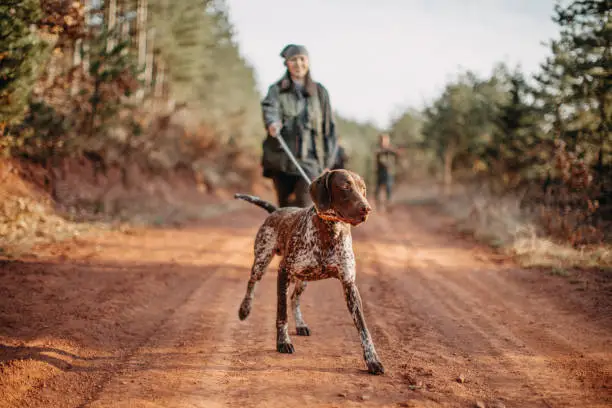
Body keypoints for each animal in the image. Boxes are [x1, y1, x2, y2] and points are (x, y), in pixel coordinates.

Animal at [234, 170, 382, 376]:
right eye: (345, 186)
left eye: (363, 189)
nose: (366, 209)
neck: (330, 230)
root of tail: (276, 210)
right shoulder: (283, 271)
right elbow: (281, 314)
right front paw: (283, 342)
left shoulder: (349, 284)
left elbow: (363, 329)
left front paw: (372, 359)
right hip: (262, 261)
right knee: (252, 282)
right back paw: (245, 308)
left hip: (303, 279)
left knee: (294, 298)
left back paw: (301, 324)